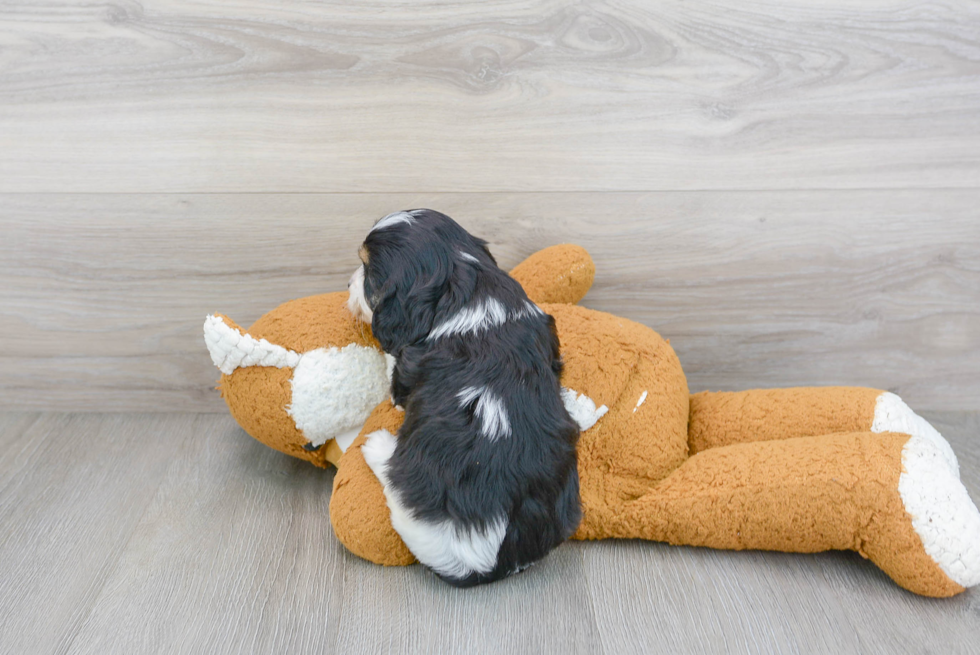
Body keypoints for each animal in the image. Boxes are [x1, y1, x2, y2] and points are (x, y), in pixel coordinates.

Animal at [348, 209, 580, 584]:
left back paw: (377, 447)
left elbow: (393, 370)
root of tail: (487, 557)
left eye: (368, 273)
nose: (348, 284)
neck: (461, 278)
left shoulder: (405, 370)